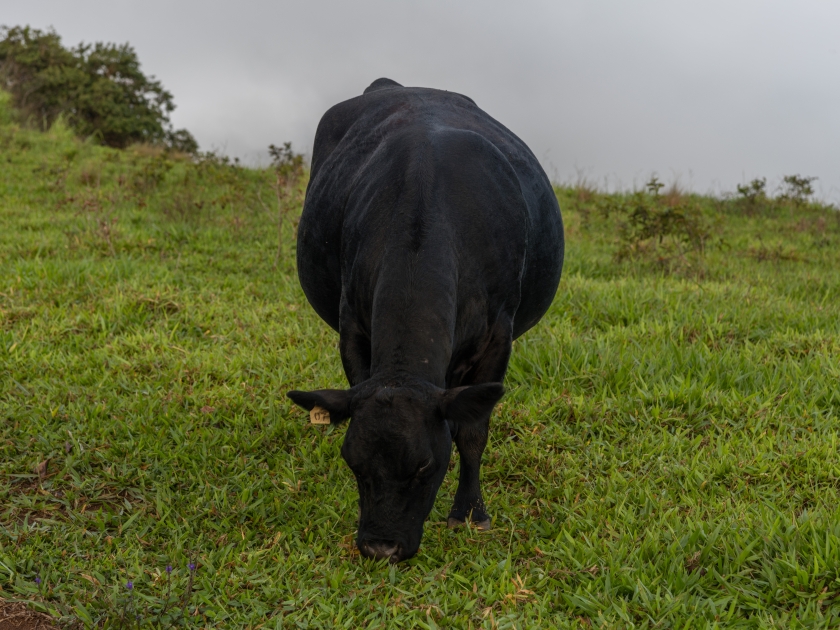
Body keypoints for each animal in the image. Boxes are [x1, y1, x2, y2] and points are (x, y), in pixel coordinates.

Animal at [288, 76, 564, 564]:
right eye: (352, 461)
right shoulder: (353, 329)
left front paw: (470, 512)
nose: (380, 547)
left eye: (424, 466)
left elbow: (472, 432)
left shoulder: (498, 338)